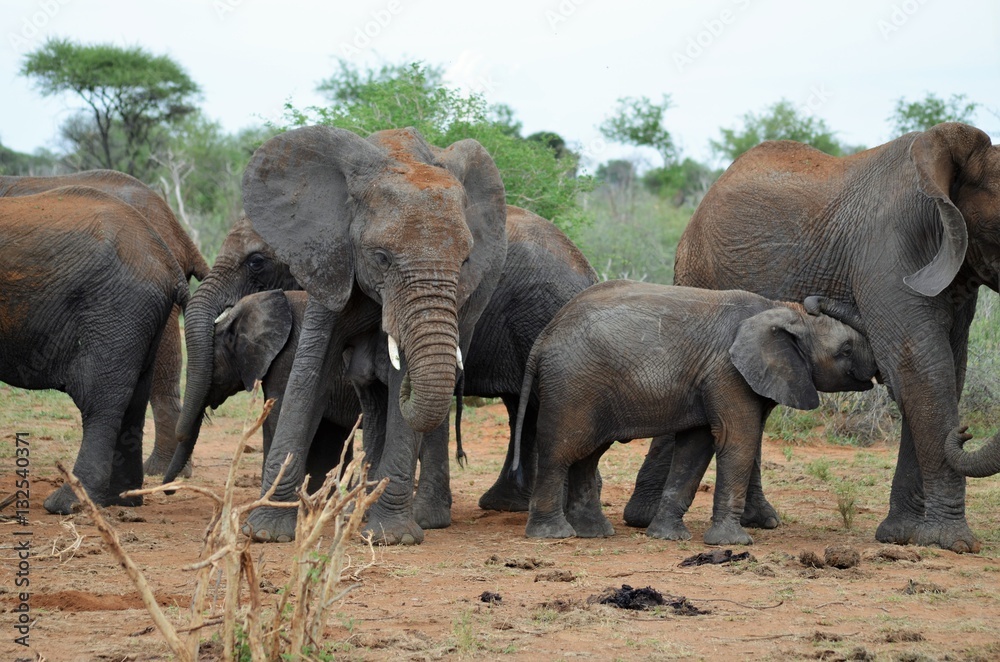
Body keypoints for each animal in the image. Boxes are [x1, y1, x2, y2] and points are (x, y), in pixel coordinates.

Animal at [232, 125, 508, 545]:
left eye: (464, 261)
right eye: (381, 258)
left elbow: (399, 390)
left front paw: (390, 537)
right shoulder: (330, 258)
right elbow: (309, 375)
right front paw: (264, 532)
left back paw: (420, 518)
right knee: (373, 395)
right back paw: (354, 510)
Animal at [513, 282, 878, 544]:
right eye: (845, 350)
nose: (815, 301)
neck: (778, 309)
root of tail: (545, 334)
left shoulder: (709, 378)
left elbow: (695, 448)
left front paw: (668, 537)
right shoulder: (727, 373)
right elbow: (737, 440)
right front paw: (733, 543)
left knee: (588, 454)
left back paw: (596, 533)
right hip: (573, 384)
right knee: (562, 450)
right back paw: (553, 535)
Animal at [626, 123, 1000, 553]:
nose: (965, 432)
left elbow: (946, 370)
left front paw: (902, 536)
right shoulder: (891, 251)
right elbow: (918, 368)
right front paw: (949, 542)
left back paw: (753, 520)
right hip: (699, 274)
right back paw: (648, 519)